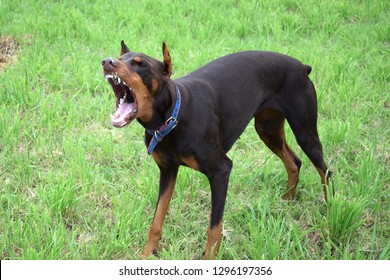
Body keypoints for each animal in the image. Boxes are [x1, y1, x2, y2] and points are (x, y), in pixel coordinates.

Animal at [102, 42, 330, 260]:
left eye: (140, 64)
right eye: (122, 57)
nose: (107, 61)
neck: (172, 118)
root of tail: (301, 66)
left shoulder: (220, 171)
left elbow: (214, 227)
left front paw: (209, 259)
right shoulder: (167, 171)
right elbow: (157, 219)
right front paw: (147, 254)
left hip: (304, 131)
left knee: (325, 170)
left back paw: (330, 209)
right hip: (267, 129)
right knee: (294, 161)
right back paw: (288, 200)